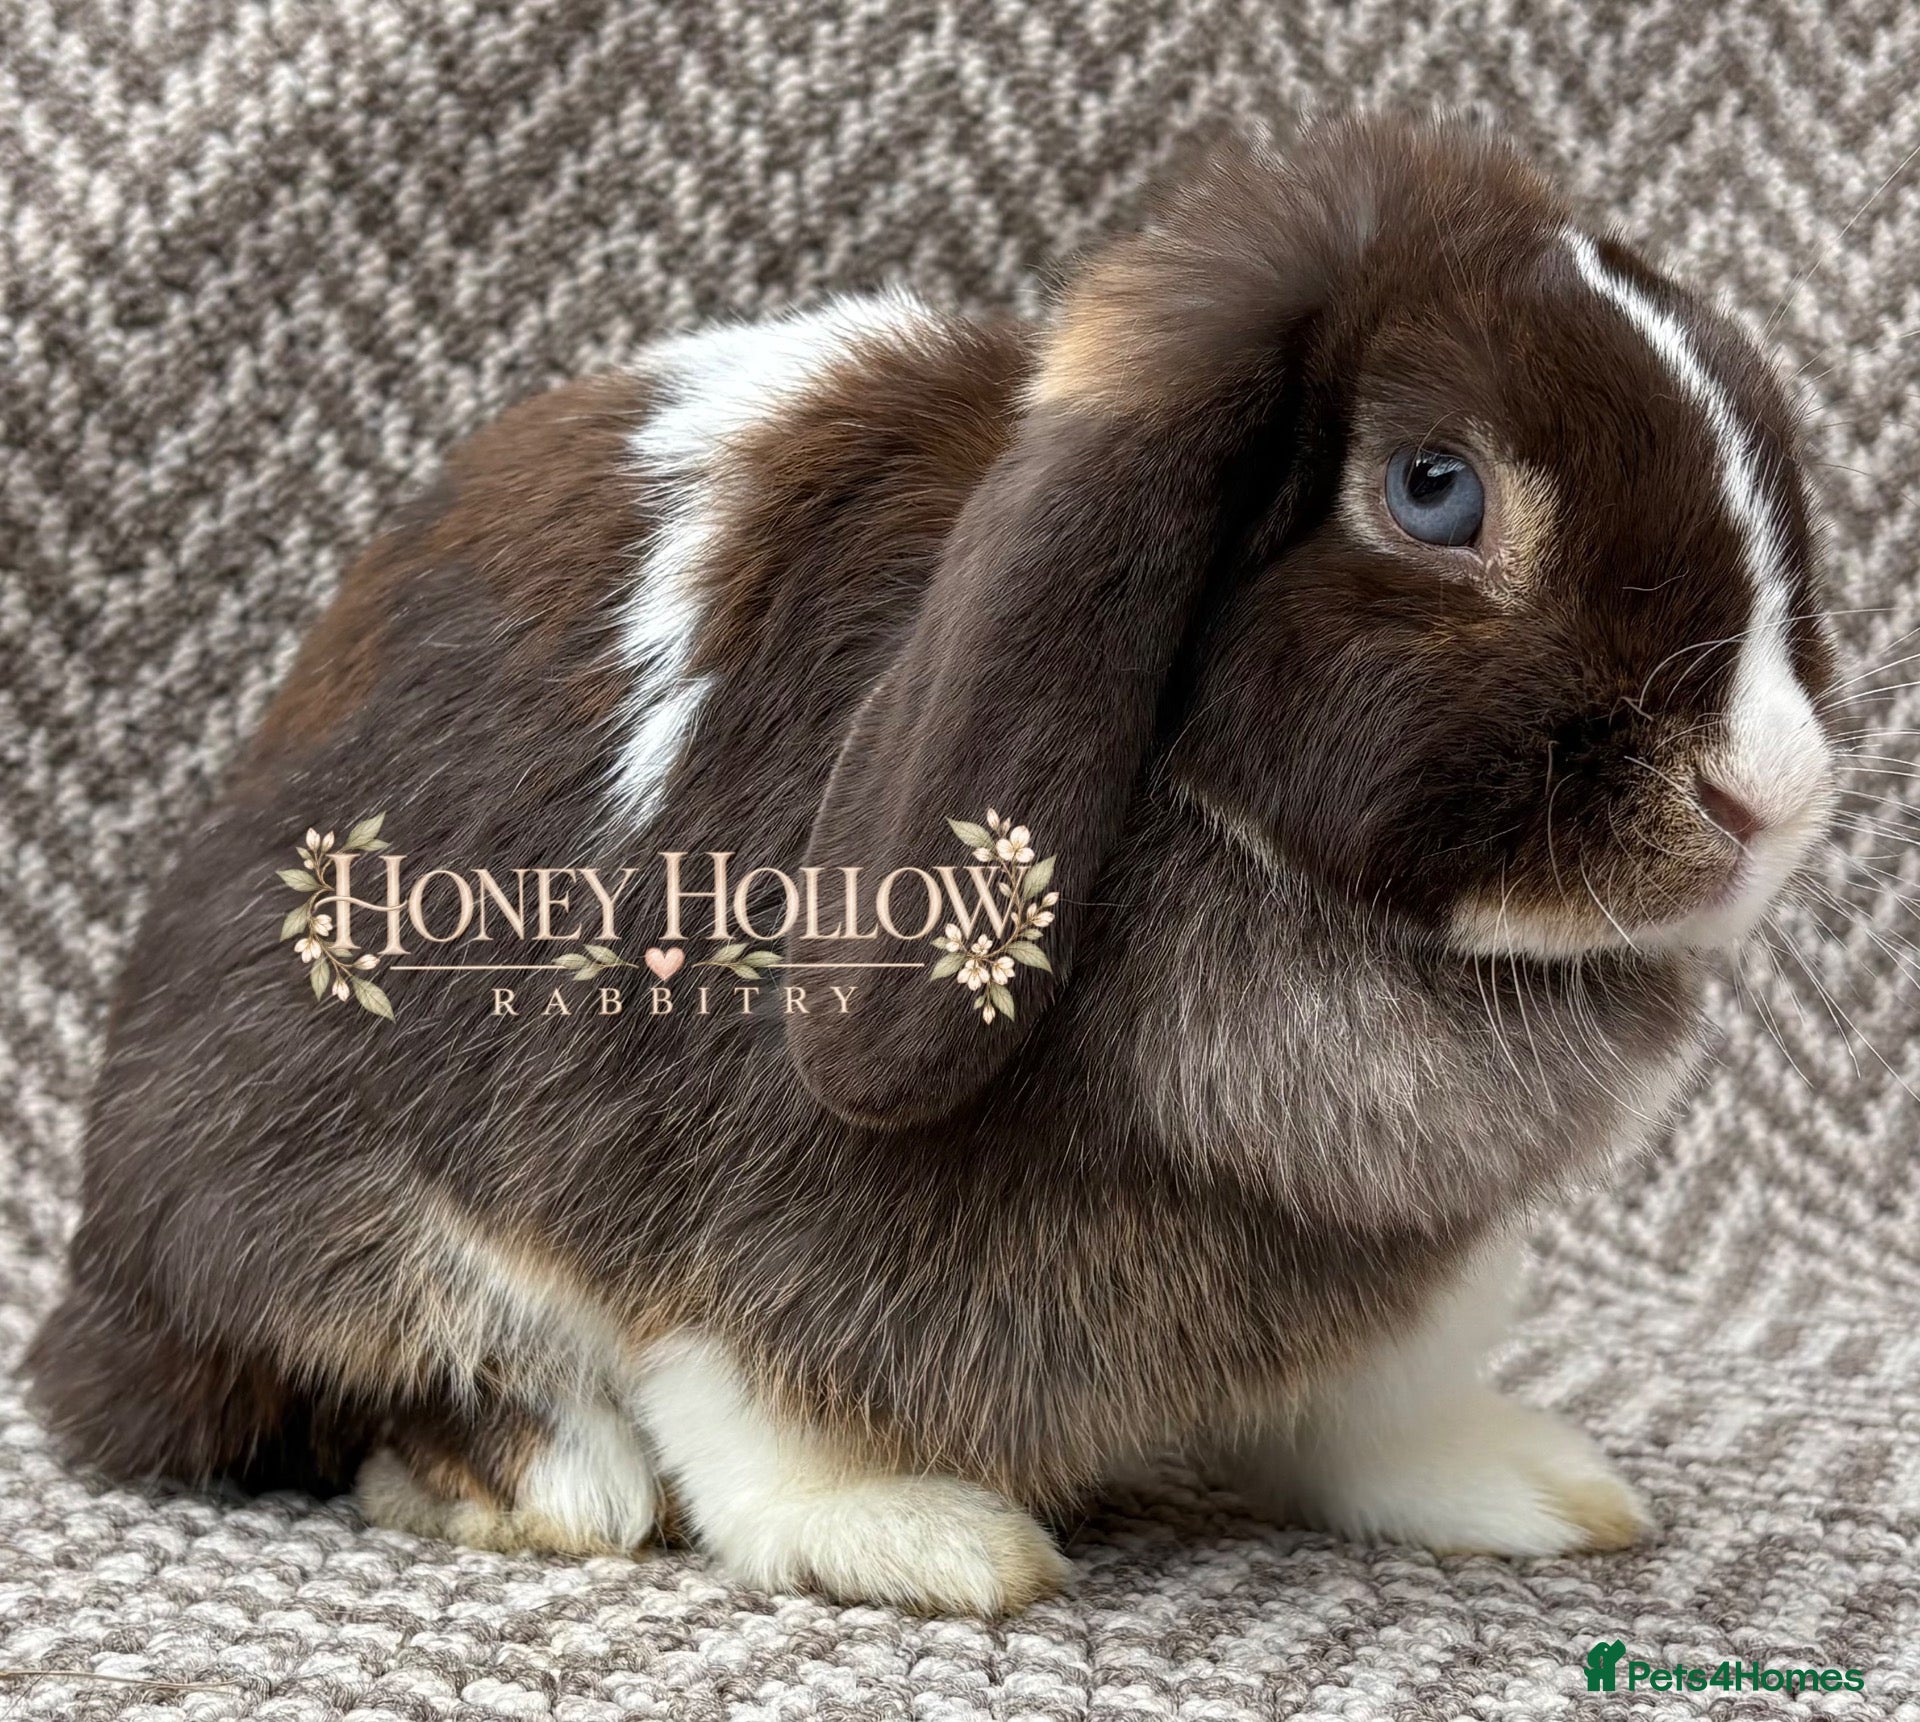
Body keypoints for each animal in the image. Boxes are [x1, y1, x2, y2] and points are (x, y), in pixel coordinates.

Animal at [27, 110, 1838, 1616]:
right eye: (1436, 488)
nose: (1772, 791)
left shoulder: (1400, 1276)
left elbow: (1373, 1413)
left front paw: (1524, 1485)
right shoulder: (730, 1217)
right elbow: (750, 1402)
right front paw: (917, 1535)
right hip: (298, 1184)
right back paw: (545, 1474)